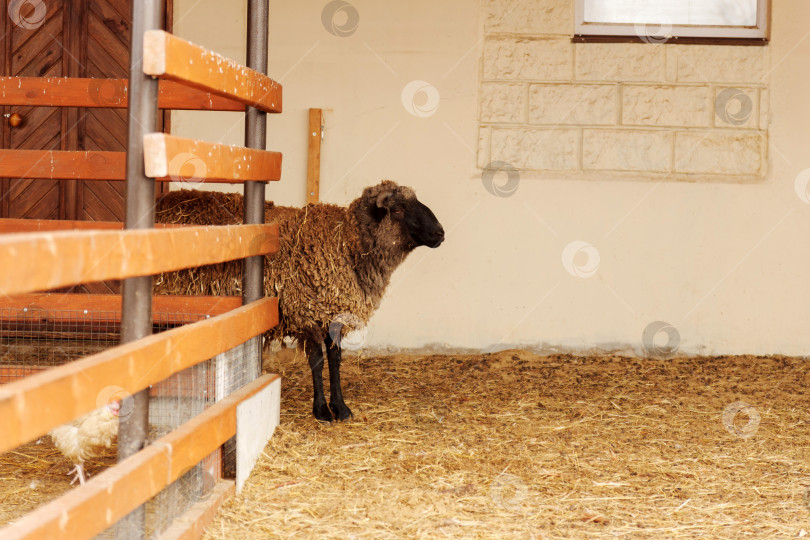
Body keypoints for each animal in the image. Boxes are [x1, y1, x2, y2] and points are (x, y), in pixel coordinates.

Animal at [154, 180, 445, 422]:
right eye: (398, 209)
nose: (440, 233)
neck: (345, 243)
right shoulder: (305, 311)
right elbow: (317, 360)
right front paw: (321, 410)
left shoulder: (333, 314)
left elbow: (335, 359)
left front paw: (341, 407)